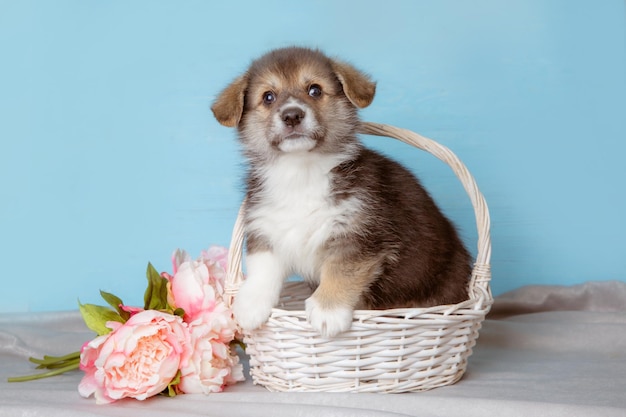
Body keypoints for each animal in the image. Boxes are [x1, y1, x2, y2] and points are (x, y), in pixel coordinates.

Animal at [211, 47, 468, 336]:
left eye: (314, 90)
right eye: (268, 97)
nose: (292, 115)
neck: (301, 173)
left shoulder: (359, 237)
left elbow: (341, 271)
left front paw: (327, 311)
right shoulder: (265, 228)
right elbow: (262, 269)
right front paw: (249, 307)